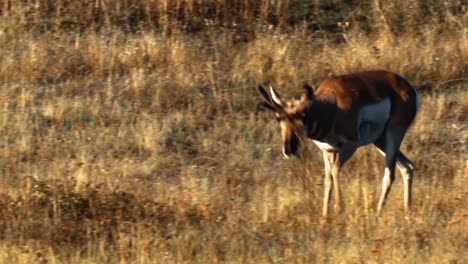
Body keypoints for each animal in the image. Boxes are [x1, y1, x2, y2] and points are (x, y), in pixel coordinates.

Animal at [260, 70, 420, 217]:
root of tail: (408, 87)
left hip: (393, 134)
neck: (332, 105)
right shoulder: (327, 151)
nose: (289, 150)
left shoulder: (350, 146)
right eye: (279, 118)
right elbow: (328, 180)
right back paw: (408, 213)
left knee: (390, 174)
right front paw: (324, 217)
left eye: (303, 116)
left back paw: (377, 214)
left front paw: (339, 209)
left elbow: (336, 170)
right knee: (407, 167)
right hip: (380, 141)